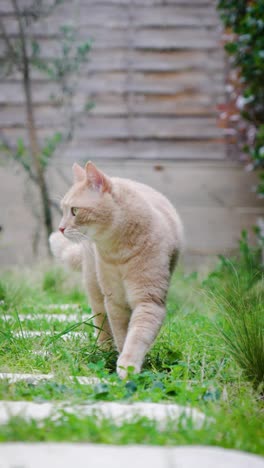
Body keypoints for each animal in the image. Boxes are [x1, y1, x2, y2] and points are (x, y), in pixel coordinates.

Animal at [50, 163, 185, 378]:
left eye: (75, 210)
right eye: (63, 211)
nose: (61, 228)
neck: (119, 251)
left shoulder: (148, 300)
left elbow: (136, 336)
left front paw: (128, 365)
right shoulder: (115, 301)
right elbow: (122, 335)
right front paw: (121, 361)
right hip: (96, 292)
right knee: (102, 327)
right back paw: (104, 352)